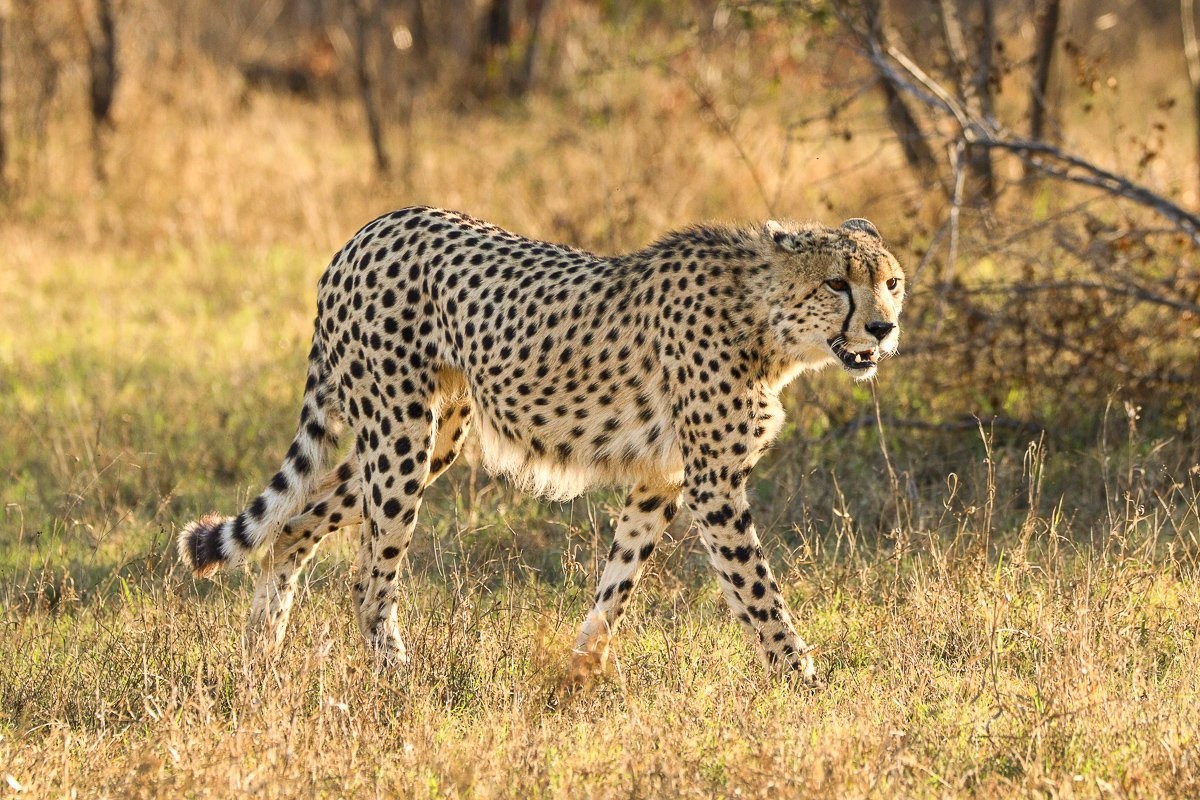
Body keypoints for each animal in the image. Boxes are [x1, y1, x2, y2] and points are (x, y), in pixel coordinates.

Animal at [177, 206, 905, 685]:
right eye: (838, 282)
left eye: (890, 282)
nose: (883, 327)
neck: (764, 321)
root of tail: (368, 230)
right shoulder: (712, 485)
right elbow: (757, 592)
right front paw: (806, 685)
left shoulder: (662, 480)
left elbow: (616, 584)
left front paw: (580, 674)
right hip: (400, 438)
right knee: (367, 575)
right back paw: (395, 677)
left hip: (430, 438)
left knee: (294, 523)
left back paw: (261, 655)